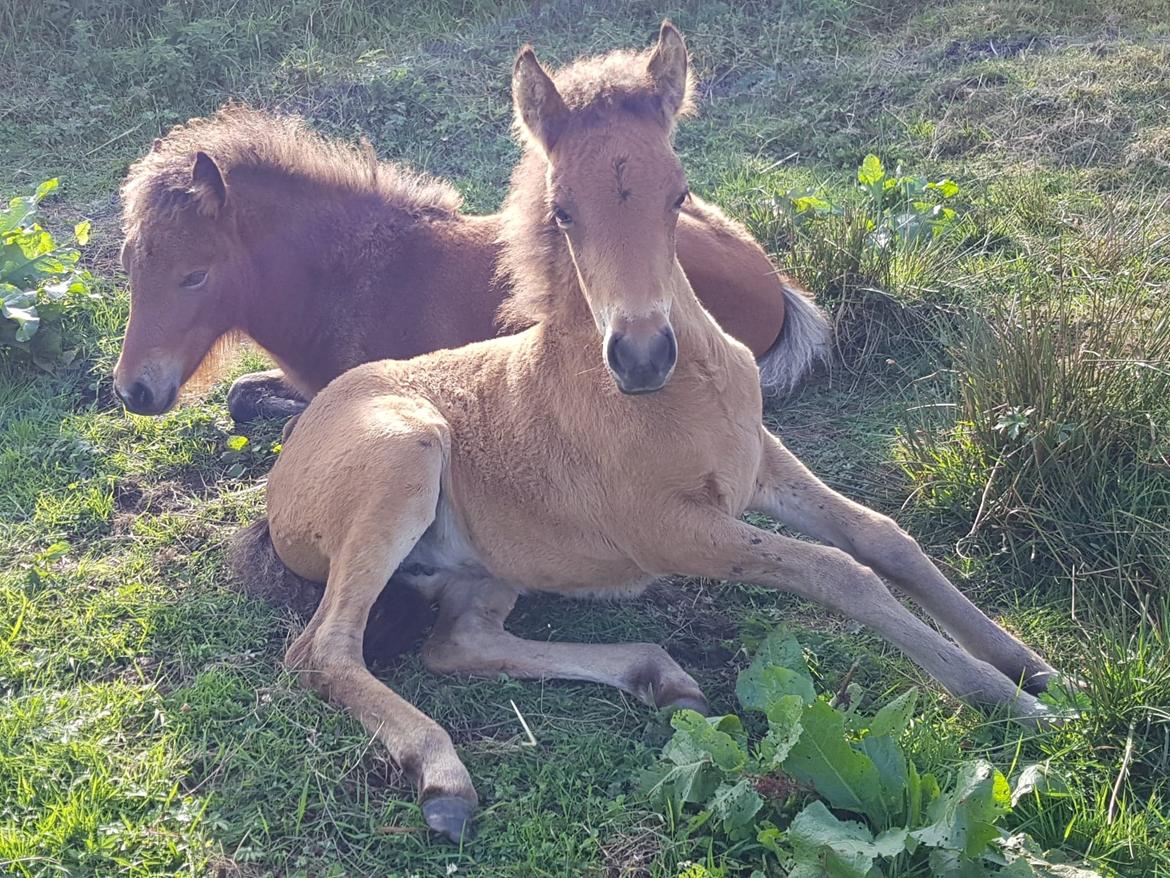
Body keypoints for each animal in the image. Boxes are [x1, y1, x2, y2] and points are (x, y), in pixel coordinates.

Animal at [232, 23, 1067, 842]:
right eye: (564, 210)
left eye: (680, 195)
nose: (640, 356)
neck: (685, 390)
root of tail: (298, 440)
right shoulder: (668, 530)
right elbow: (839, 572)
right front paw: (1015, 703)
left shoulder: (759, 464)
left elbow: (883, 538)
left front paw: (1035, 667)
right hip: (402, 458)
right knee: (324, 650)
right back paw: (444, 779)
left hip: (489, 564)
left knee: (458, 642)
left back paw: (658, 676)